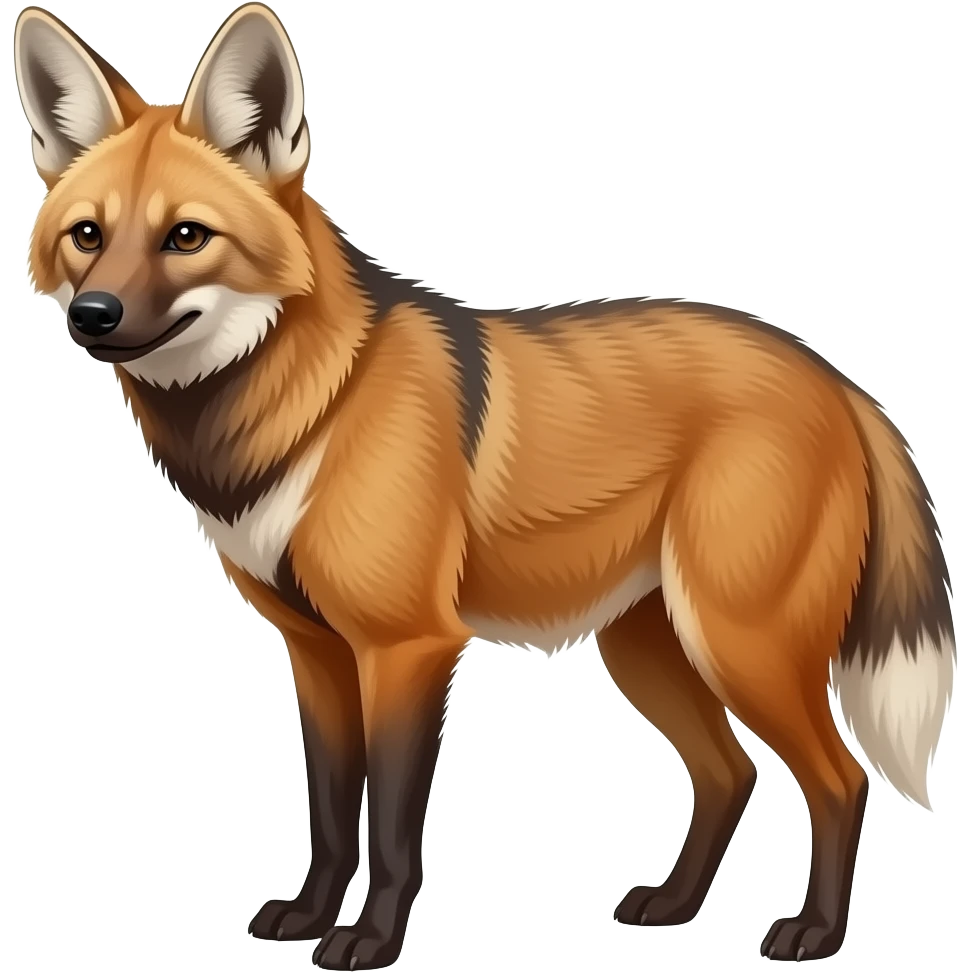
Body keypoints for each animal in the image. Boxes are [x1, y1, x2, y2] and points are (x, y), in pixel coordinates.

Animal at [15, 3, 957, 967]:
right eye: (88, 235)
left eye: (187, 237)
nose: (94, 316)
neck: (314, 406)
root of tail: (837, 379)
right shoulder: (316, 653)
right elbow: (330, 815)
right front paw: (310, 919)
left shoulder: (408, 646)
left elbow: (392, 827)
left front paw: (370, 941)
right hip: (651, 648)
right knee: (730, 774)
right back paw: (674, 906)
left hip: (740, 643)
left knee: (840, 781)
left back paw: (815, 932)